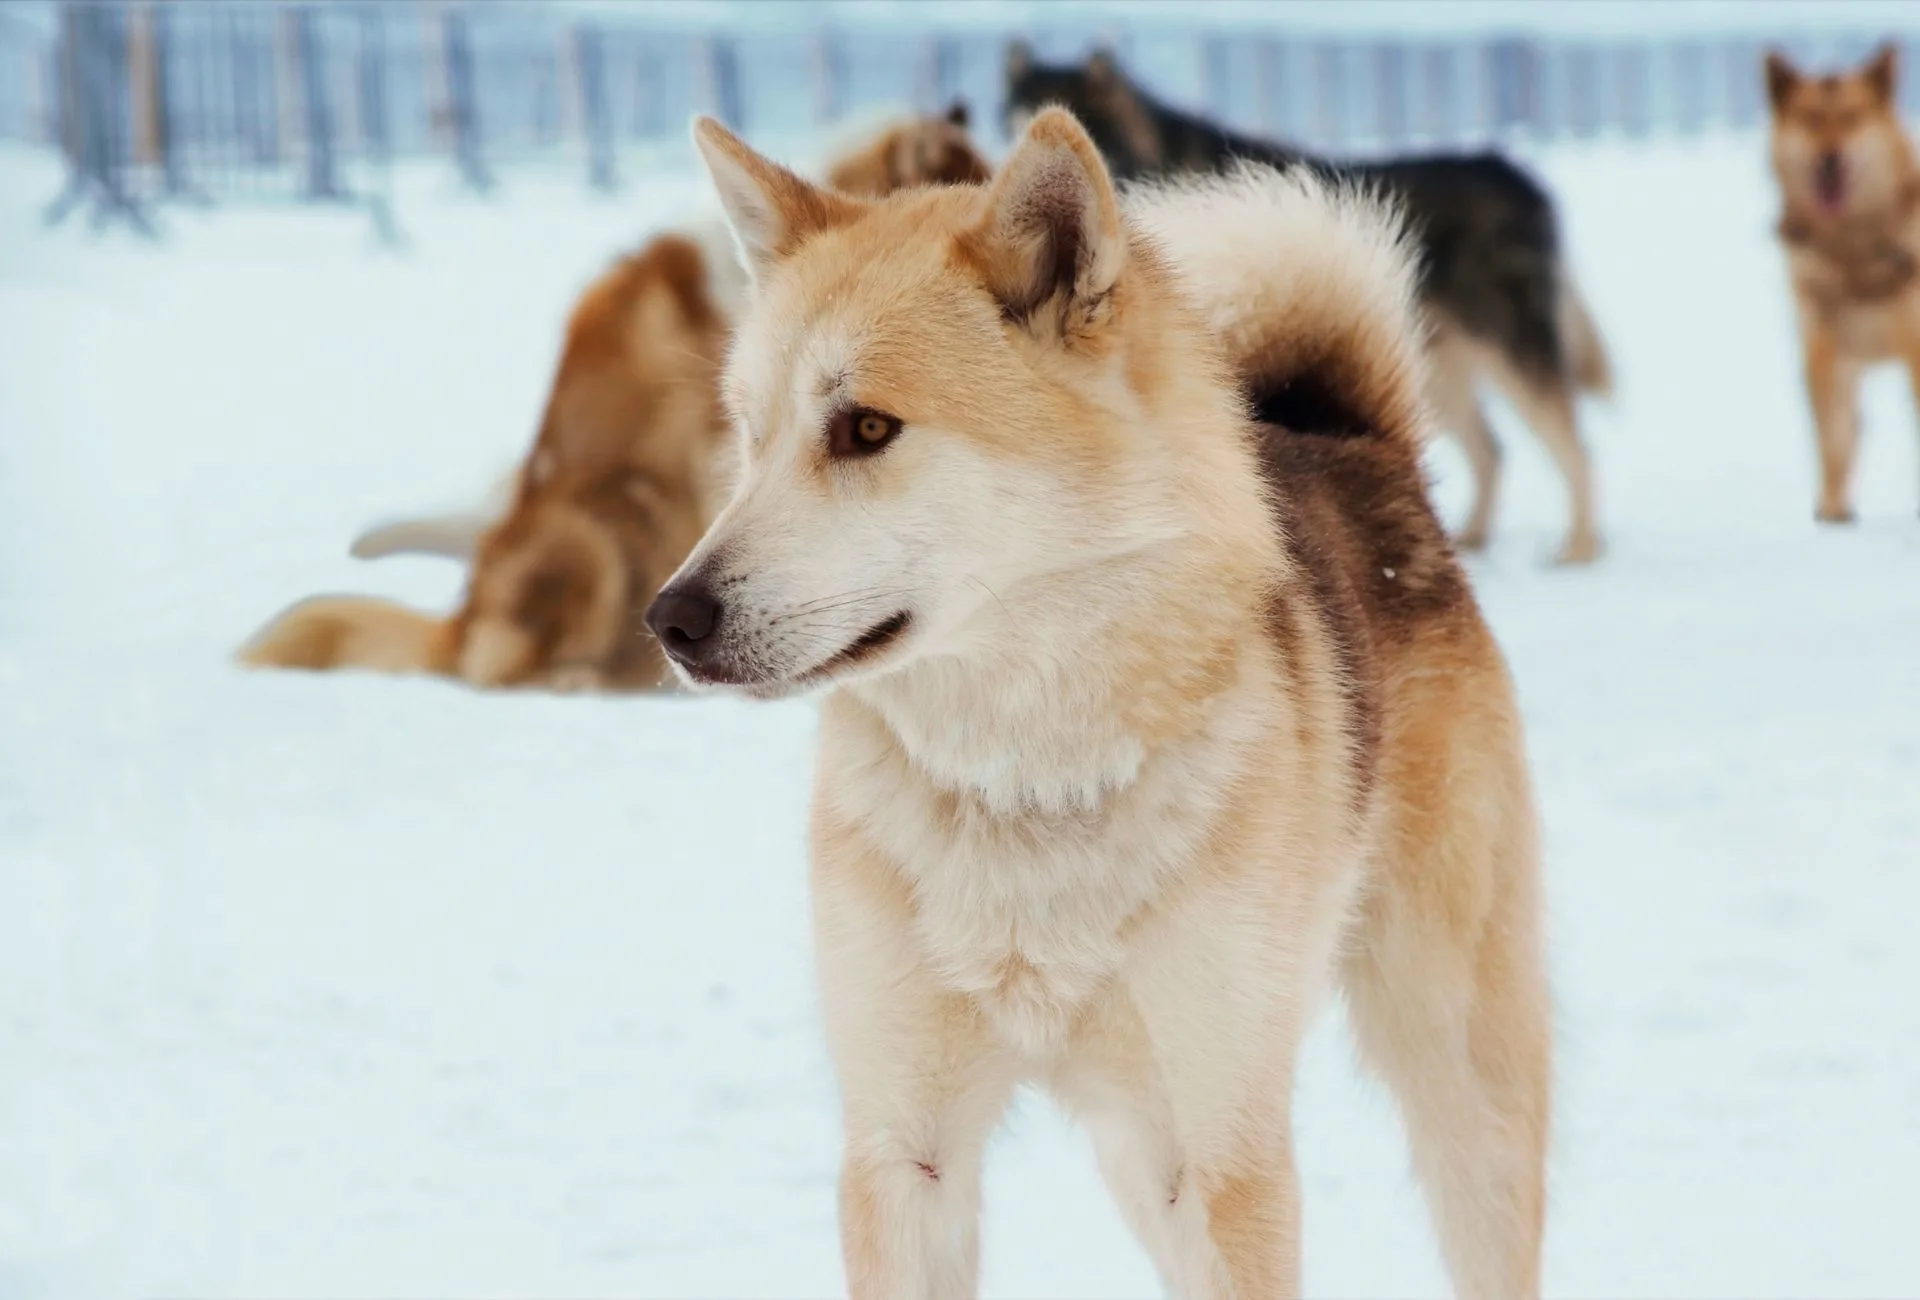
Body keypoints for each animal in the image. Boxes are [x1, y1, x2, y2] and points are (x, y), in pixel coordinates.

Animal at [1766, 45, 1920, 522]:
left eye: (1851, 118)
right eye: (1812, 119)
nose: (1829, 158)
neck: (1853, 251)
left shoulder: (1913, 343)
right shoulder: (1822, 344)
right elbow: (1831, 437)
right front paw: (1833, 508)